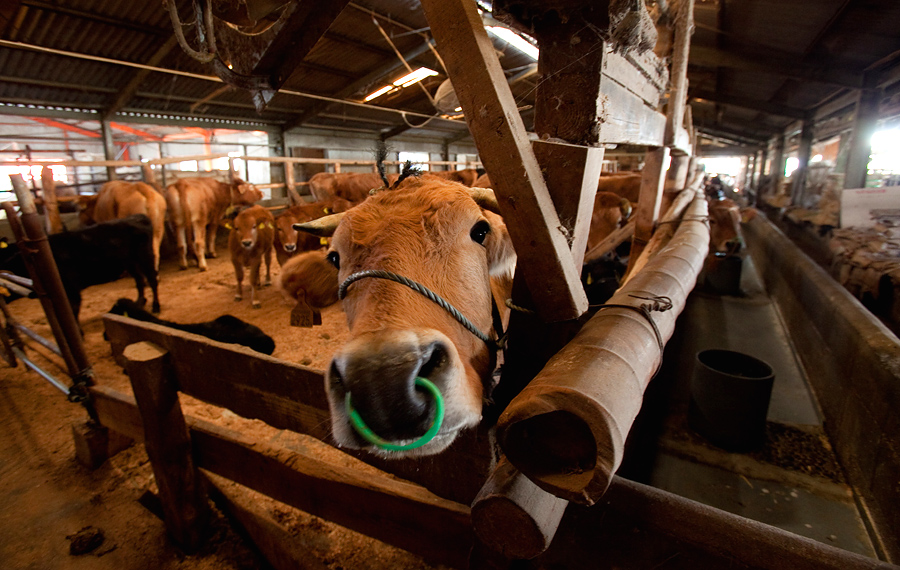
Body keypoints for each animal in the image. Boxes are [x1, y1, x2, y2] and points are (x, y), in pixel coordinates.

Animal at [0, 214, 160, 320]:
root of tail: (137, 217)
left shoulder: (71, 290)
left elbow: (73, 311)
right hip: (129, 261)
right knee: (139, 280)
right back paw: (139, 303)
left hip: (145, 256)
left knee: (152, 279)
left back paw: (156, 306)